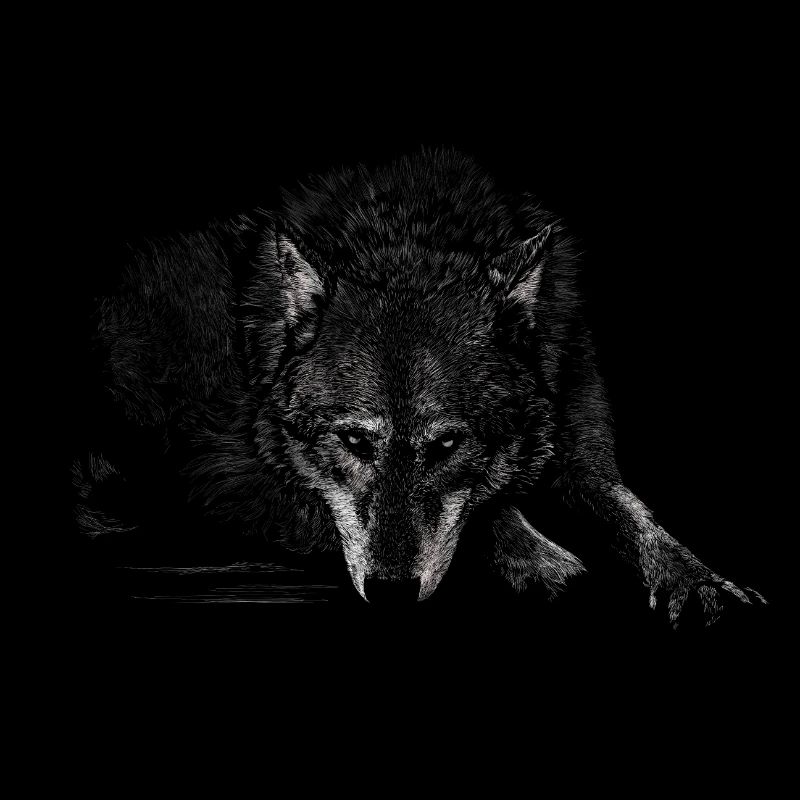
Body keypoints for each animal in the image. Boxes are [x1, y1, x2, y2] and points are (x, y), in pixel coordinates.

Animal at [73, 148, 765, 624]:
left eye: (447, 446)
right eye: (354, 442)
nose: (390, 593)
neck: (409, 236)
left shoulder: (586, 461)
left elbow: (637, 517)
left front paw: (700, 580)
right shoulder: (227, 473)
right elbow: (493, 512)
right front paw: (546, 562)